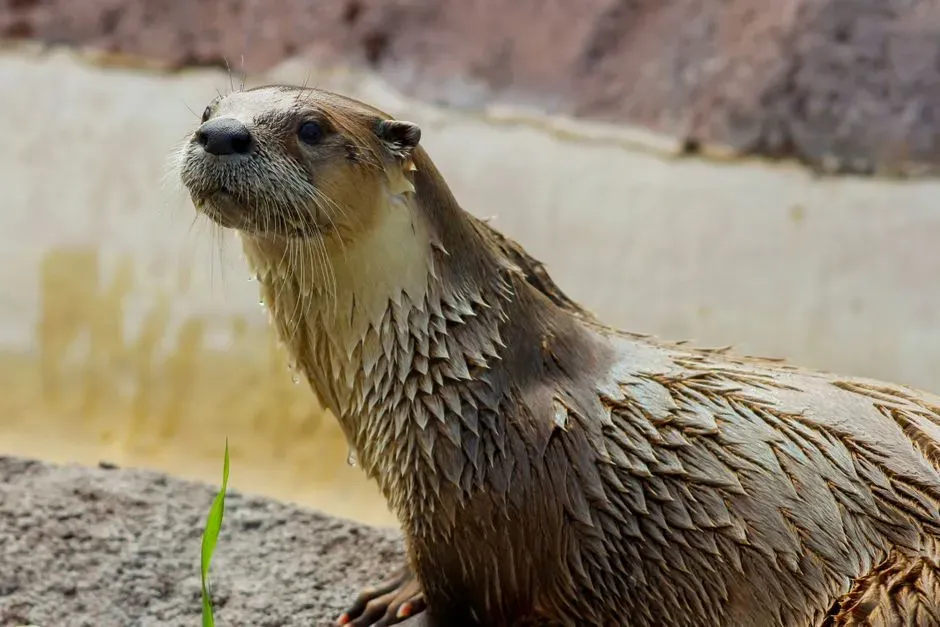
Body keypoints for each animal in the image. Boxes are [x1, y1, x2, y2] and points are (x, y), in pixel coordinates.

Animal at [177, 85, 940, 626]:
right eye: (209, 109)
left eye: (311, 128)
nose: (220, 134)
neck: (449, 366)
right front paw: (393, 586)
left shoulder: (478, 500)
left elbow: (467, 600)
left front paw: (401, 603)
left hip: (894, 591)